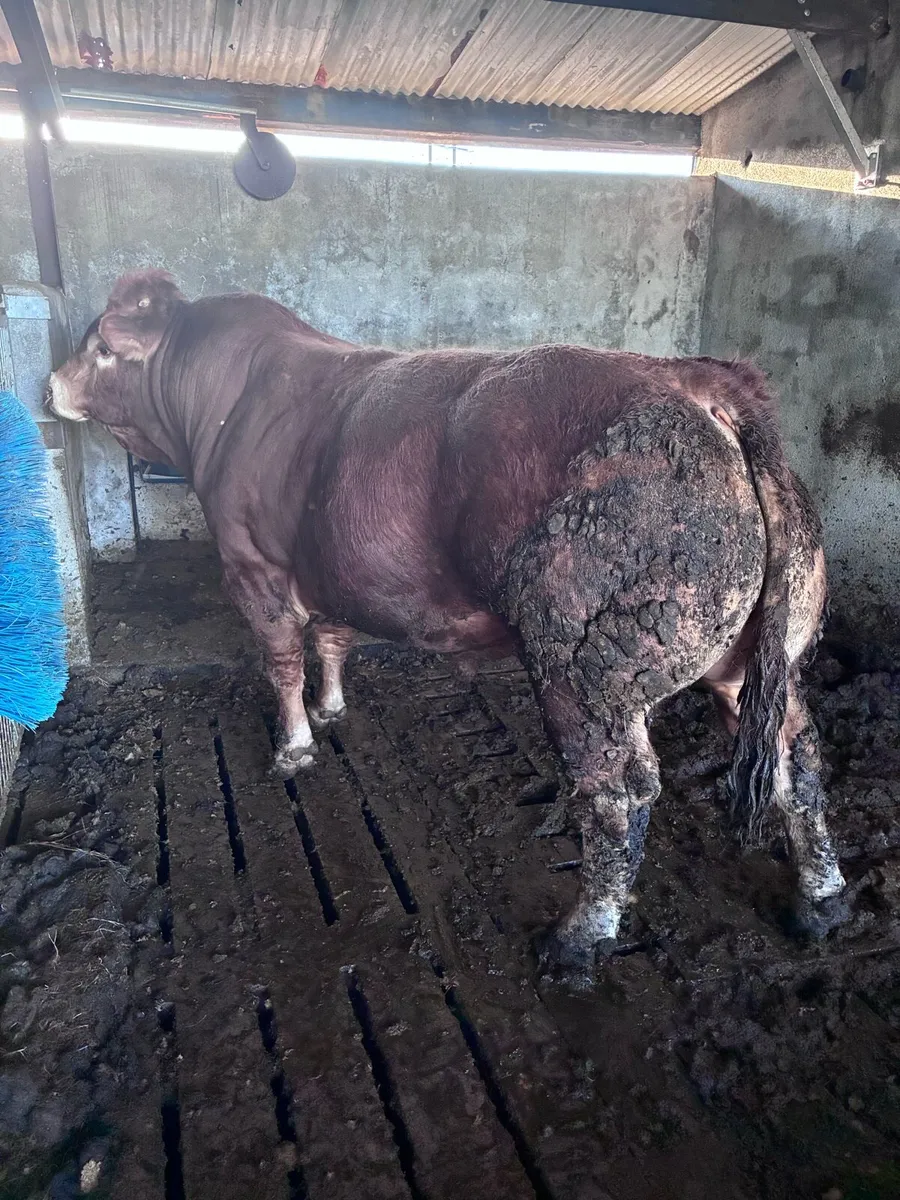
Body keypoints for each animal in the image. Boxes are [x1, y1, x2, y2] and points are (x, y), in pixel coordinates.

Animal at [47, 269, 848, 978]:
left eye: (102, 347)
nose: (50, 385)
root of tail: (702, 383)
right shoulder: (334, 569)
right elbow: (332, 636)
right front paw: (331, 708)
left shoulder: (253, 565)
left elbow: (280, 659)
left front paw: (293, 747)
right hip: (761, 658)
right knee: (796, 760)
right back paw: (821, 900)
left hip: (583, 668)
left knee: (617, 791)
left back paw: (579, 938)